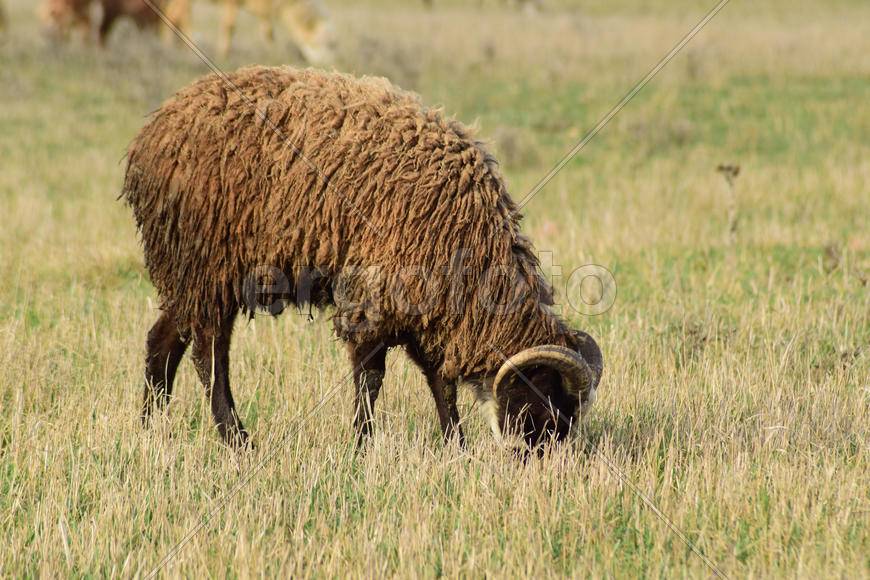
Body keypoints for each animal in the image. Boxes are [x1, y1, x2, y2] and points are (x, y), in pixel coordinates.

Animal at [123, 66, 603, 449]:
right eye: (547, 400)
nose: (542, 459)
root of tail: (152, 131)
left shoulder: (423, 304)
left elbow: (439, 380)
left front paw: (456, 445)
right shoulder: (373, 296)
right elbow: (370, 377)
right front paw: (361, 445)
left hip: (190, 274)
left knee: (163, 340)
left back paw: (151, 427)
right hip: (207, 266)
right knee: (210, 357)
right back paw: (237, 439)